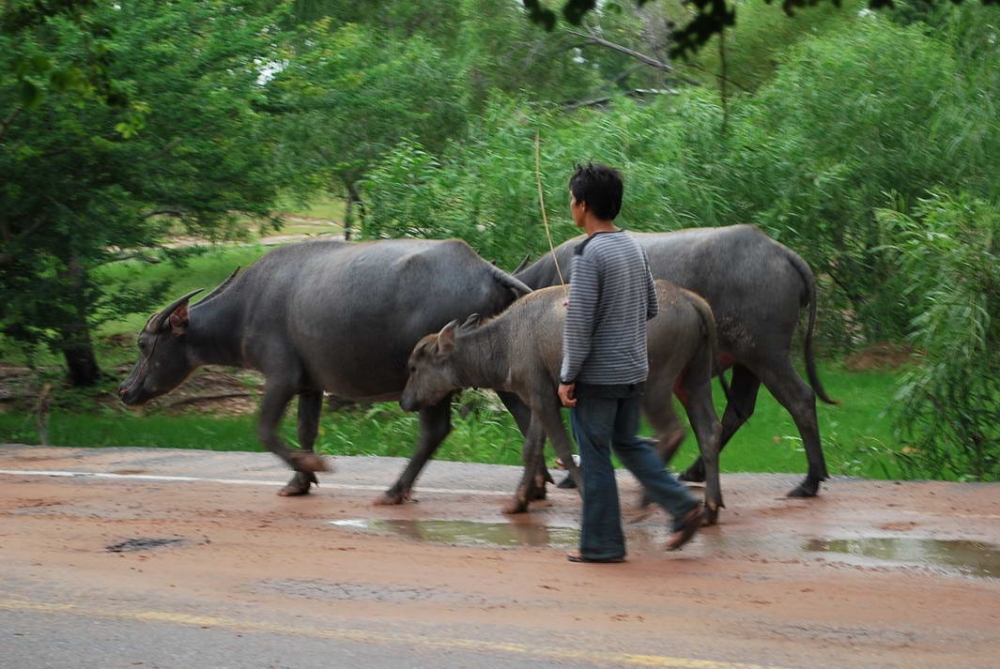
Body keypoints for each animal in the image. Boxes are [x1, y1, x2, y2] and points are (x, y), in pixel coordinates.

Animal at [118, 237, 536, 498]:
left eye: (144, 344)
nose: (125, 390)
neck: (246, 308)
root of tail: (483, 268)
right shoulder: (310, 384)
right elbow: (306, 429)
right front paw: (298, 481)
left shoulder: (281, 377)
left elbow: (266, 430)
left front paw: (311, 465)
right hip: (494, 370)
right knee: (525, 416)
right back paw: (533, 488)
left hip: (434, 381)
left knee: (435, 431)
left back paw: (395, 491)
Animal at [402, 280, 724, 520]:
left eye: (415, 366)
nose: (405, 401)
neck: (504, 345)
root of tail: (694, 302)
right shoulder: (538, 397)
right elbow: (532, 449)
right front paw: (518, 501)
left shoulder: (545, 398)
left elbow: (564, 449)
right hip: (694, 379)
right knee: (709, 430)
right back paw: (711, 507)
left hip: (656, 384)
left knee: (672, 431)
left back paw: (648, 498)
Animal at [516, 224, 836, 496]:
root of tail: (782, 253)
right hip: (746, 361)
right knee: (738, 410)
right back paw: (696, 471)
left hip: (767, 354)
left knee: (800, 399)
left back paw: (810, 480)